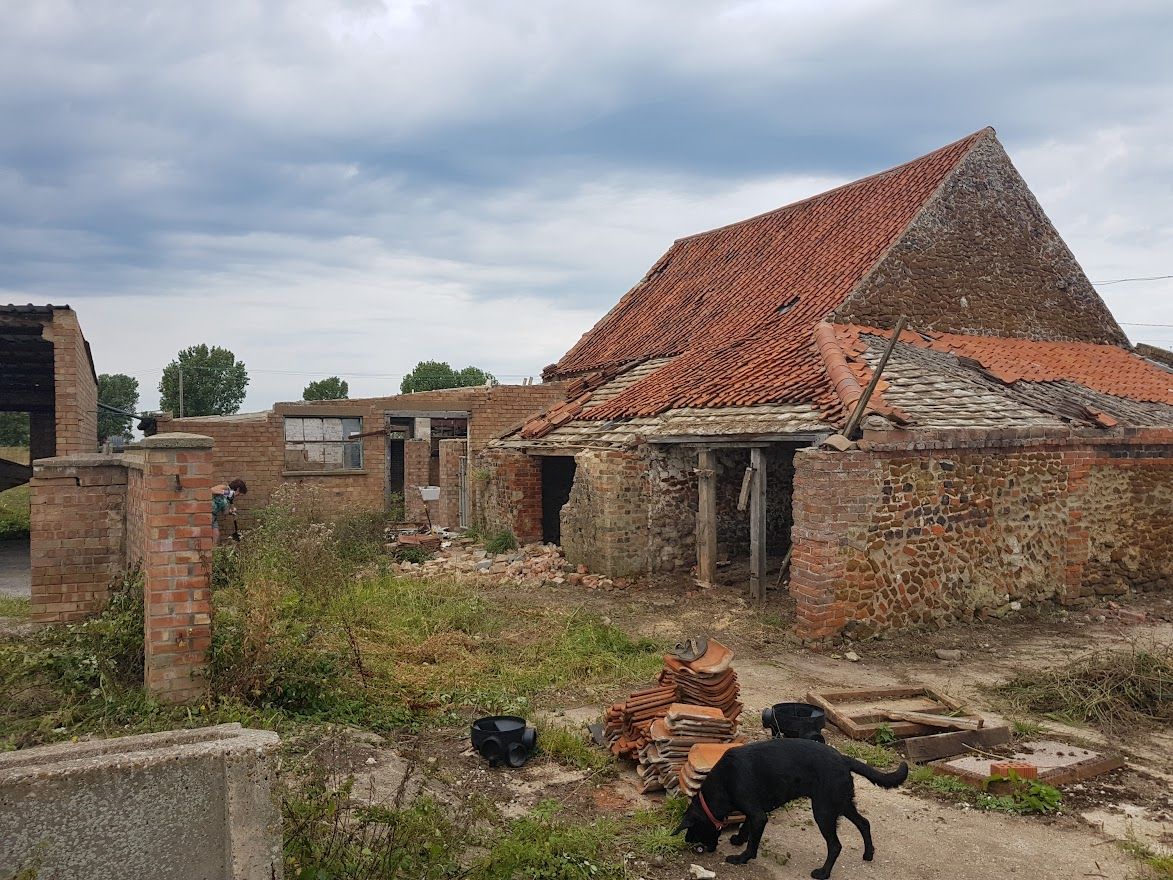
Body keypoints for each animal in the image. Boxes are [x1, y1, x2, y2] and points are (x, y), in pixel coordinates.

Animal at [680, 741, 905, 877]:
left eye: (692, 829)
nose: (690, 844)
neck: (724, 781)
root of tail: (843, 758)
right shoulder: (756, 811)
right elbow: (746, 826)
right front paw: (738, 839)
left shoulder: (758, 814)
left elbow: (752, 842)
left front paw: (741, 858)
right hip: (842, 804)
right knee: (864, 823)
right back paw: (868, 854)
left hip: (823, 811)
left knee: (835, 845)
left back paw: (823, 873)